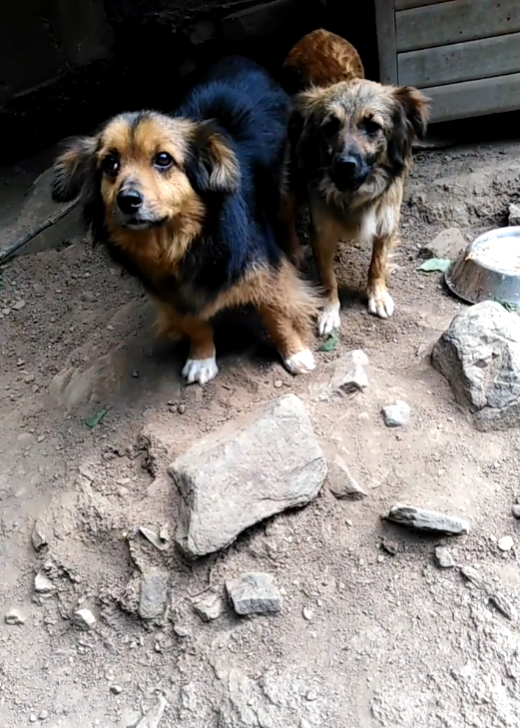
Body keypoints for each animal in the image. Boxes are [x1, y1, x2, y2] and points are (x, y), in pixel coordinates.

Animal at [282, 29, 428, 336]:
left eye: (372, 127)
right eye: (329, 127)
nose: (345, 165)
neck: (353, 195)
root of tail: (318, 31)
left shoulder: (387, 220)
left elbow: (377, 264)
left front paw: (378, 295)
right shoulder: (321, 232)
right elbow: (328, 279)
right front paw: (329, 310)